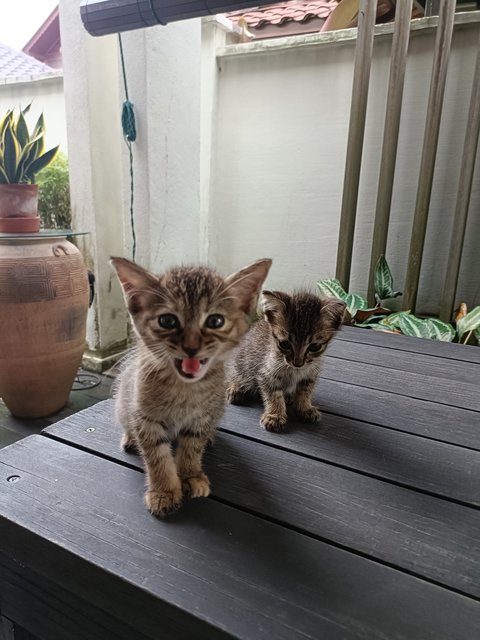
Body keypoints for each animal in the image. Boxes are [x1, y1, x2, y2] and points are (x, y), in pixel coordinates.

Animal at [110, 255, 272, 516]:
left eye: (215, 321)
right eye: (167, 321)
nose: (191, 348)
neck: (184, 389)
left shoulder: (201, 418)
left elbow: (192, 448)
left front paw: (190, 475)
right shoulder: (145, 419)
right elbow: (157, 458)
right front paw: (164, 491)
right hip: (123, 402)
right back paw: (130, 439)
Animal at [226, 292, 344, 432]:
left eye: (314, 347)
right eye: (285, 344)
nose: (298, 363)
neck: (294, 370)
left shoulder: (310, 374)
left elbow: (305, 391)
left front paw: (305, 408)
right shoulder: (266, 374)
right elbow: (274, 396)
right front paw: (275, 416)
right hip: (242, 363)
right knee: (233, 374)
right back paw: (235, 388)